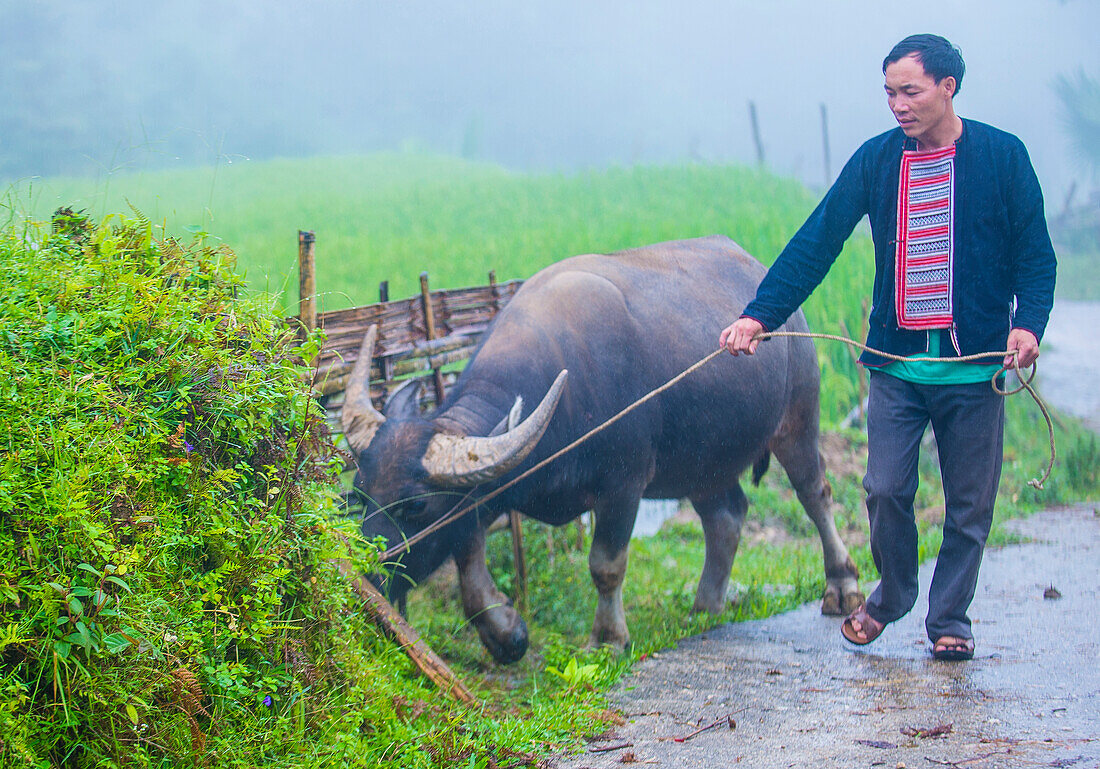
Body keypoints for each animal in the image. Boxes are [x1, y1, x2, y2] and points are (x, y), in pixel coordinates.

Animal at [347, 234, 862, 660]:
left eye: (415, 506)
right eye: (359, 493)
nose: (367, 575)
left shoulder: (623, 486)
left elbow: (606, 565)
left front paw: (608, 639)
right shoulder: (485, 492)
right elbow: (469, 564)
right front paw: (507, 633)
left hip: (799, 418)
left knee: (815, 495)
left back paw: (842, 588)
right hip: (703, 460)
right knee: (726, 516)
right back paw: (706, 605)